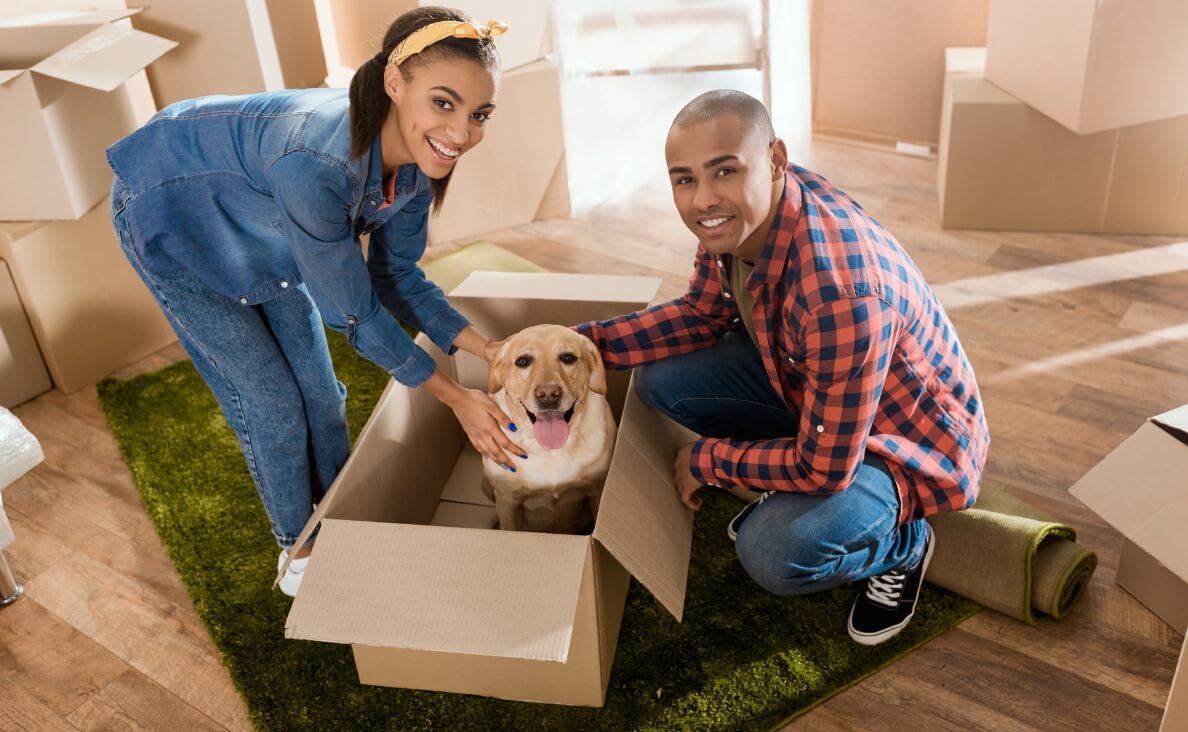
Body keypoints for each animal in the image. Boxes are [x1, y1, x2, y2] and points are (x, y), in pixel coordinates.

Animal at [479, 325, 617, 532]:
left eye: (568, 357)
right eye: (522, 361)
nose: (548, 395)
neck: (551, 452)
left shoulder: (598, 490)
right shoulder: (506, 499)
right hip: (486, 485)